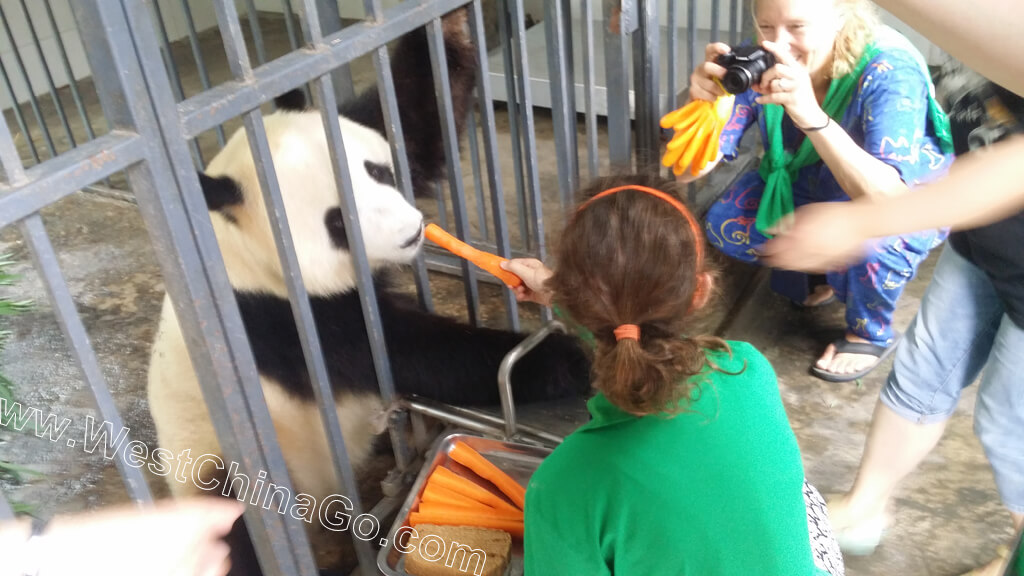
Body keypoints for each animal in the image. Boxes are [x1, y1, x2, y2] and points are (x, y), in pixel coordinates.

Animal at [147, 8, 589, 573]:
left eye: (377, 171)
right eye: (337, 222)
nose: (411, 231)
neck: (236, 247)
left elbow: (410, 114)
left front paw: (450, 23)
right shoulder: (270, 319)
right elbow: (404, 350)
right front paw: (563, 360)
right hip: (222, 462)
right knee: (236, 525)